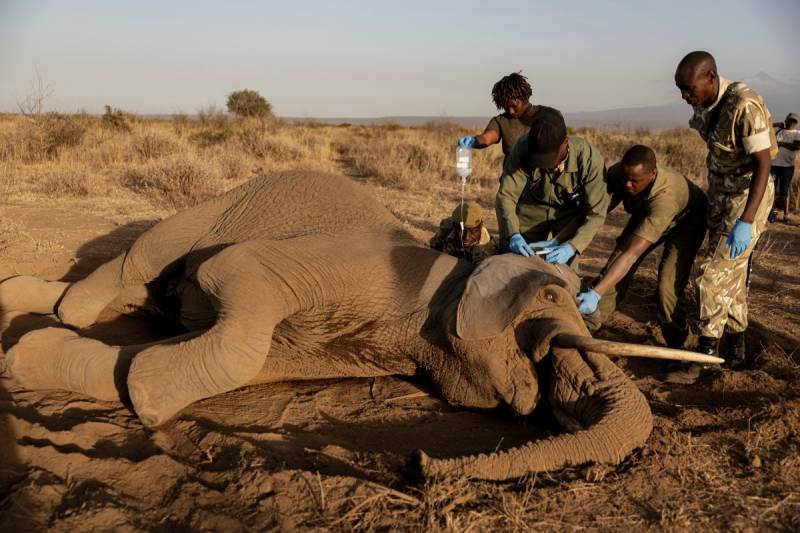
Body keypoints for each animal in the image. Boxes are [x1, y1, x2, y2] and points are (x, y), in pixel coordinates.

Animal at [0, 170, 715, 481]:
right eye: (547, 299)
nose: (413, 462)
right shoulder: (376, 272)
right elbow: (235, 277)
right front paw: (150, 399)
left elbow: (228, 359)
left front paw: (60, 368)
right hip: (214, 207)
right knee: (136, 262)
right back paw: (68, 308)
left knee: (142, 296)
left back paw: (26, 304)